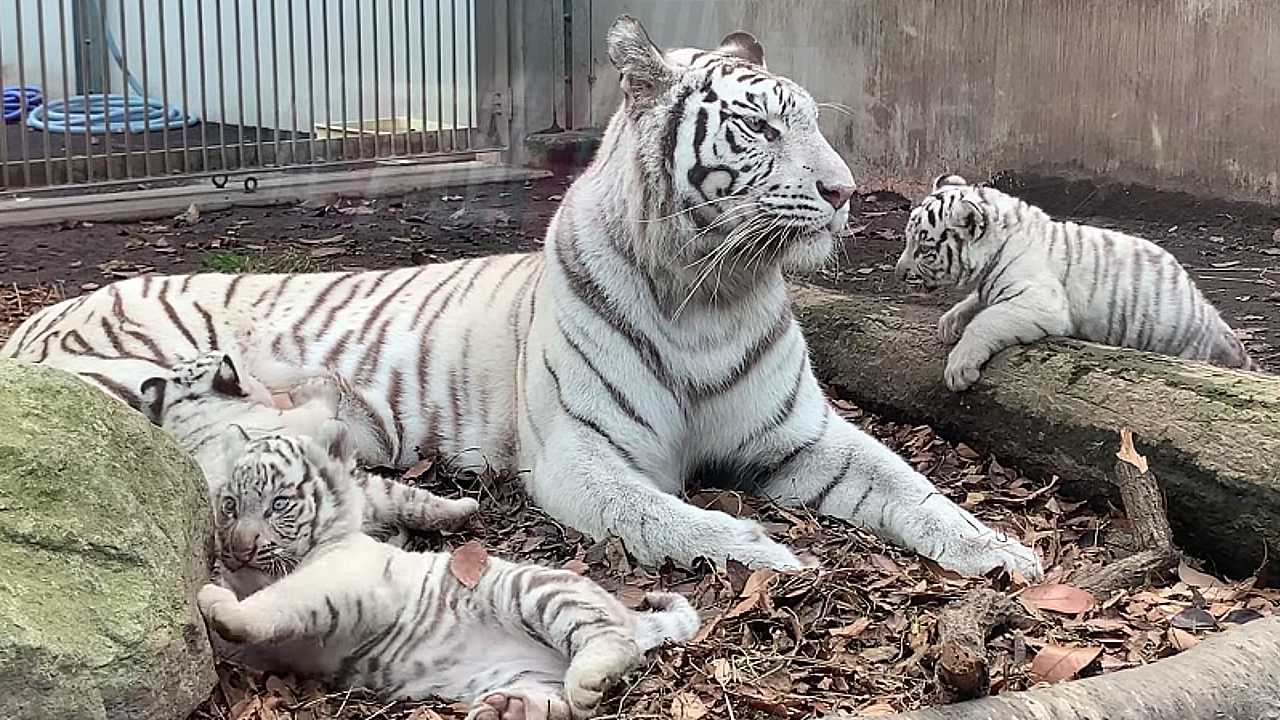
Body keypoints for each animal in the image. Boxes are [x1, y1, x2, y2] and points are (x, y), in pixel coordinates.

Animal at [197, 420, 701, 717]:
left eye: (279, 504)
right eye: (230, 505)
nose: (237, 547)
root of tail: (632, 614)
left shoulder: (340, 574)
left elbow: (279, 601)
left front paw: (217, 602)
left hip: (535, 590)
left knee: (610, 644)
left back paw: (588, 678)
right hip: (516, 672)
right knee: (561, 706)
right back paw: (509, 709)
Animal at [896, 174, 1254, 389]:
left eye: (924, 248)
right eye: (908, 239)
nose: (899, 273)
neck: (994, 250)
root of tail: (1210, 316)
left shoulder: (1042, 303)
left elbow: (987, 320)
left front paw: (959, 368)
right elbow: (975, 302)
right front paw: (949, 321)